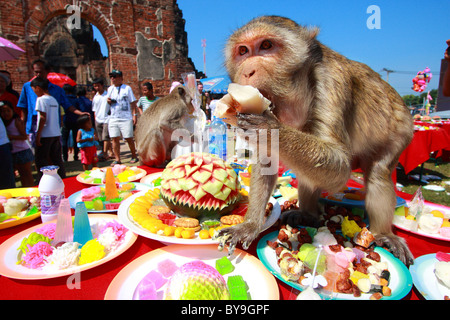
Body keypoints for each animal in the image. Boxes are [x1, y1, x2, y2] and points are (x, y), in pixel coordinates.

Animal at [215, 15, 414, 264]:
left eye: (266, 46)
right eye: (243, 51)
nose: (247, 71)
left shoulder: (331, 81)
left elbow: (340, 167)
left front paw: (267, 128)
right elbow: (267, 163)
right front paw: (249, 226)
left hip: (401, 130)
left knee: (379, 172)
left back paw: (383, 233)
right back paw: (309, 215)